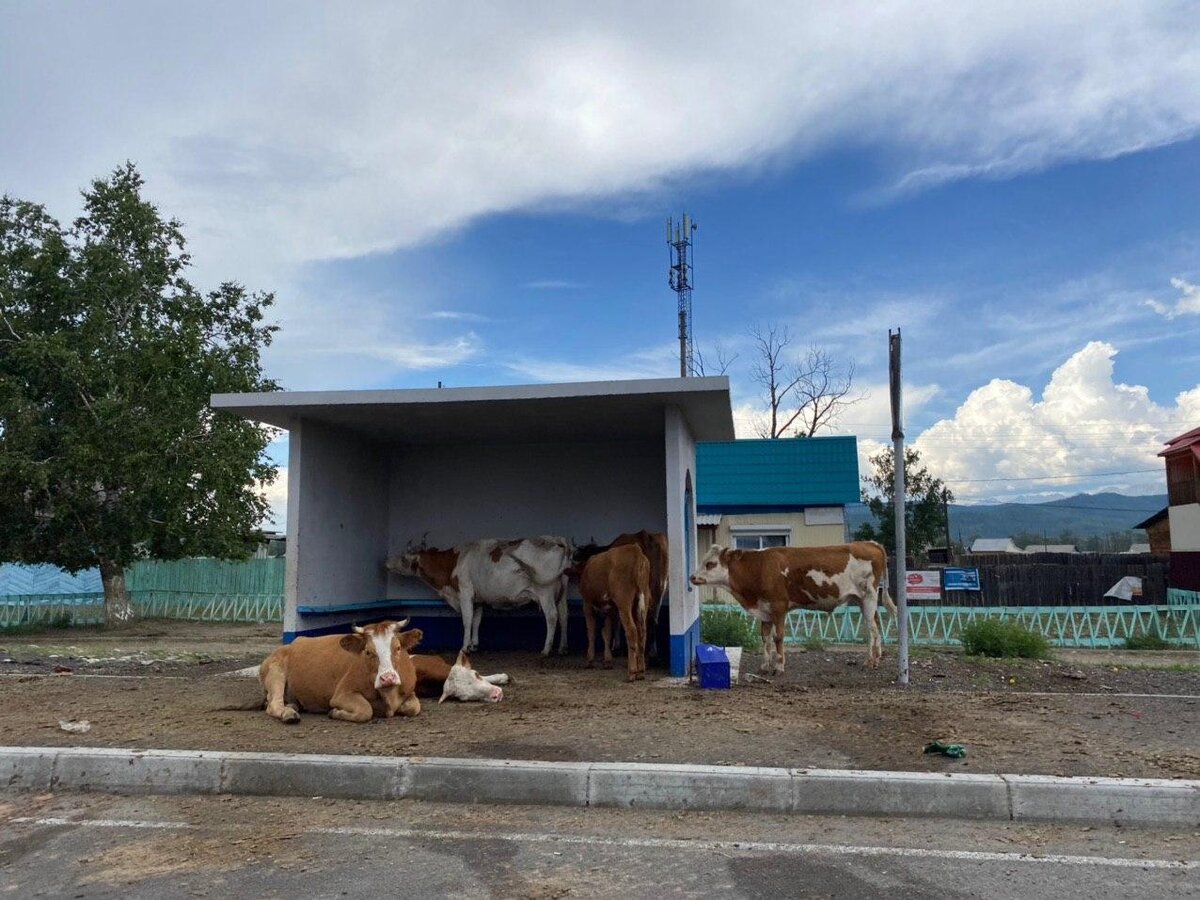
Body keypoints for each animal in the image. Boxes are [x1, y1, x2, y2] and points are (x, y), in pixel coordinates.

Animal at [384, 535, 571, 657]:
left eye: (403, 558)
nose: (386, 563)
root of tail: (557, 539)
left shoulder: (465, 592)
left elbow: (467, 620)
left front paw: (464, 647)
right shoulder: (478, 599)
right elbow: (476, 621)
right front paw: (474, 645)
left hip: (545, 591)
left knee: (552, 616)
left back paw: (546, 650)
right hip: (561, 593)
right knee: (564, 616)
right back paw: (562, 648)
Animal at [576, 542, 652, 681]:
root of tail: (636, 551)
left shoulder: (587, 604)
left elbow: (591, 632)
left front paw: (590, 660)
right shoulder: (610, 610)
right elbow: (606, 632)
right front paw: (607, 661)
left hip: (624, 603)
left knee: (631, 630)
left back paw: (632, 672)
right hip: (642, 600)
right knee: (642, 632)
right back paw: (641, 672)